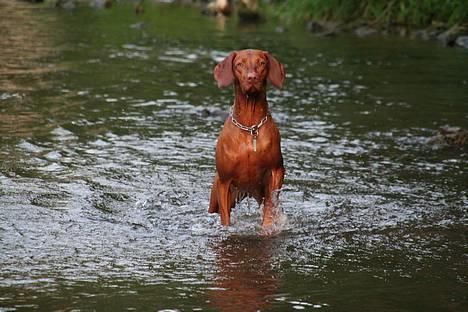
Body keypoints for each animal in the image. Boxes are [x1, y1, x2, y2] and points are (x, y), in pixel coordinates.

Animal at [208, 48, 286, 229]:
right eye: (239, 64)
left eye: (261, 63)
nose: (252, 77)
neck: (250, 127)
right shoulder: (224, 182)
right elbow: (225, 218)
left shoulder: (276, 171)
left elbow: (270, 207)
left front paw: (267, 228)